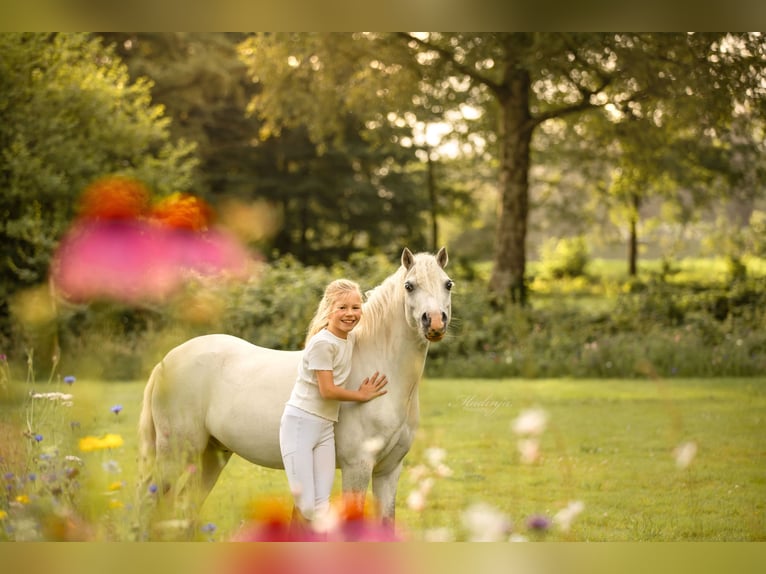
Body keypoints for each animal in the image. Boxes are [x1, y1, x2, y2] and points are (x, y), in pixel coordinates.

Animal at [139, 248, 452, 520]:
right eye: (409, 286)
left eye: (448, 284)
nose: (435, 322)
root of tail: (166, 361)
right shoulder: (358, 467)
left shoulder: (388, 471)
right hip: (175, 454)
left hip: (211, 455)